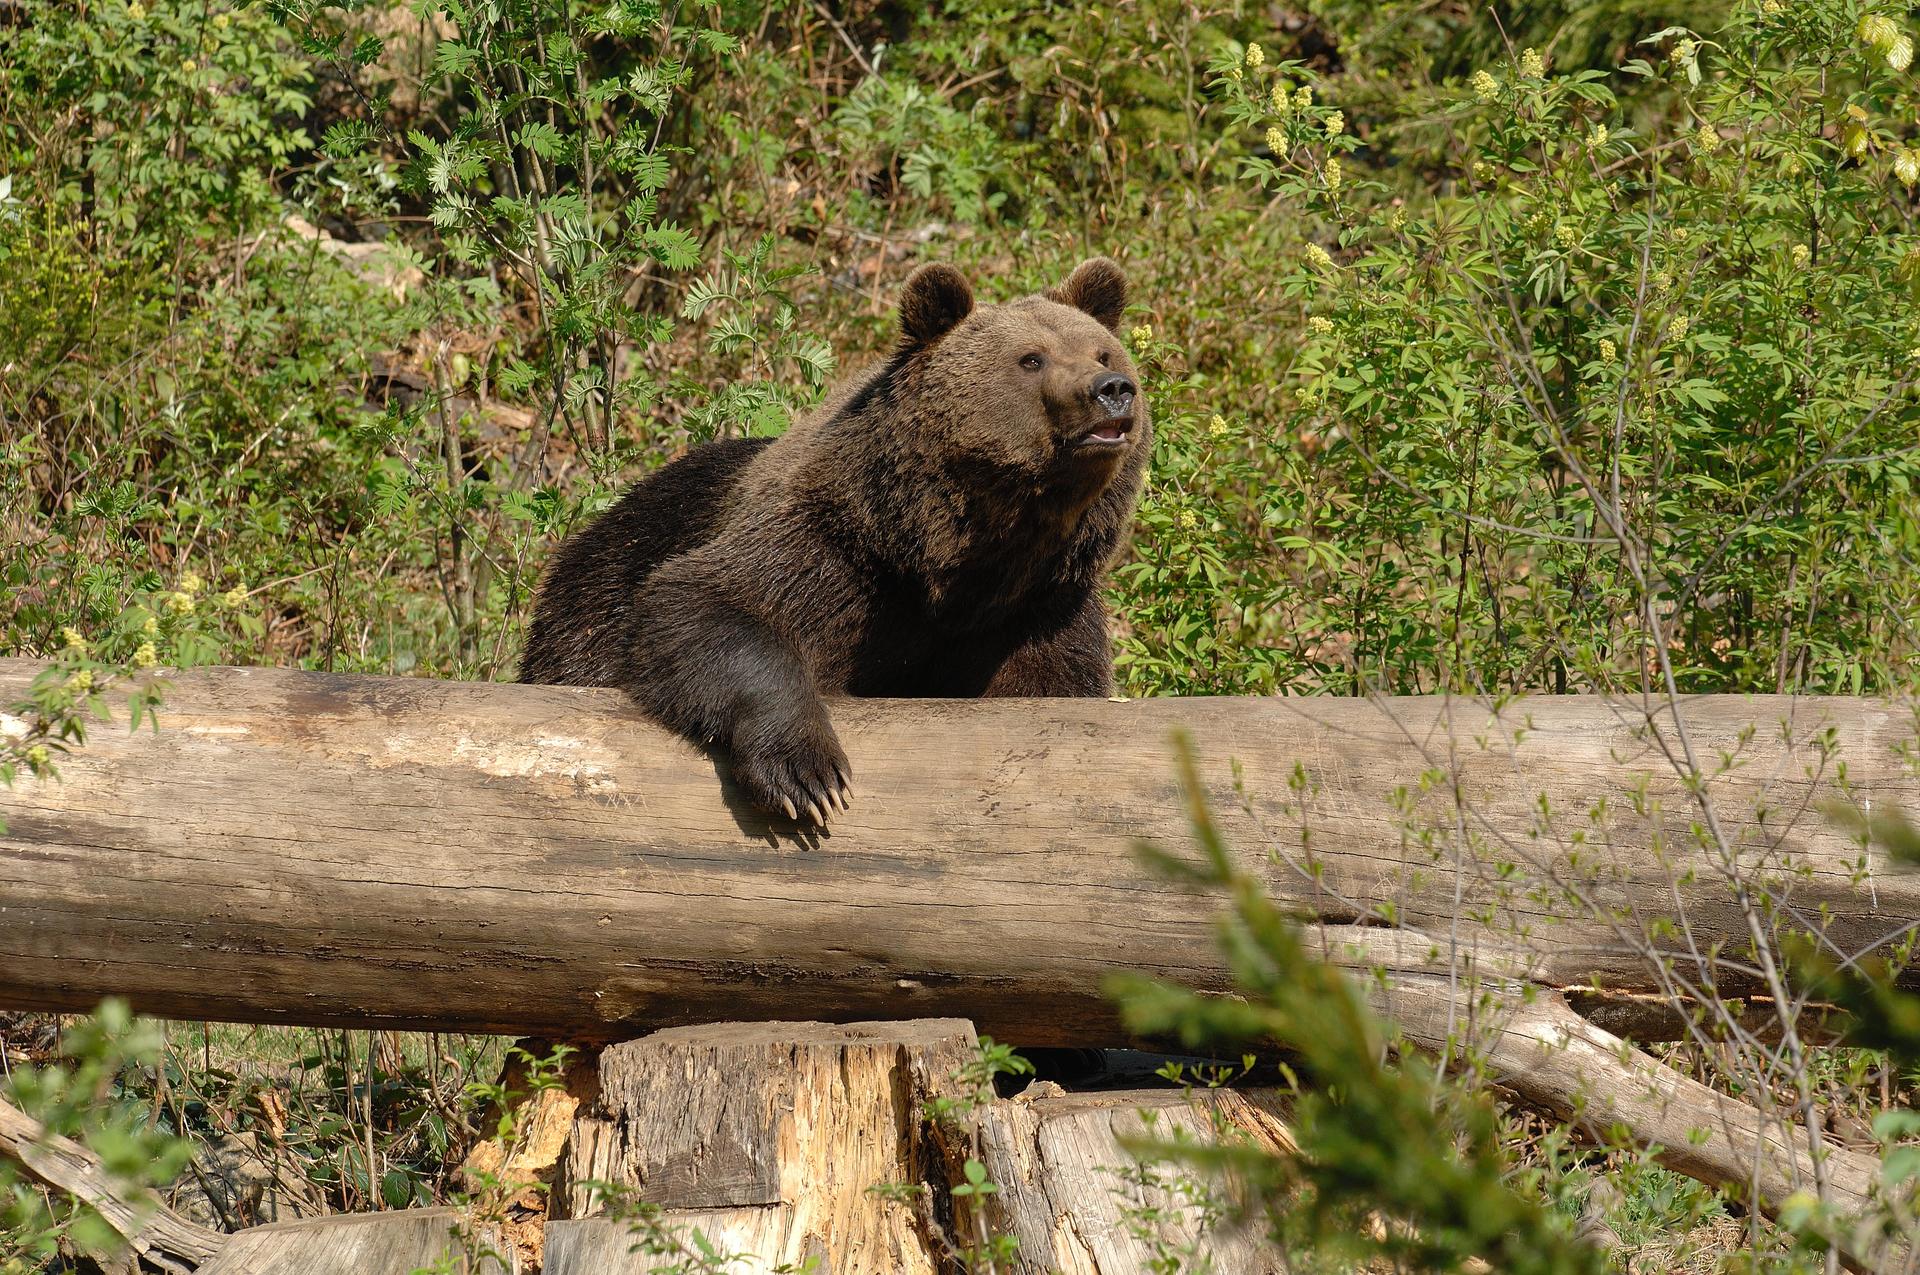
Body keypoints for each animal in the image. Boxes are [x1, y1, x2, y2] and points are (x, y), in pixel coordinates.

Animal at [518, 257, 1144, 825]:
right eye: (1031, 359)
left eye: (1102, 352)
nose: (1112, 389)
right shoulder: (830, 550)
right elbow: (708, 604)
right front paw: (810, 775)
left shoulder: (1040, 606)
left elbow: (1053, 686)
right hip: (598, 592)